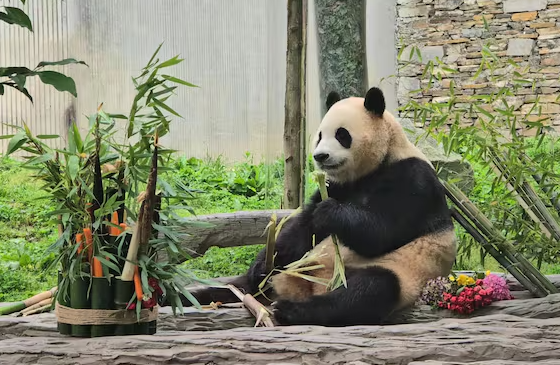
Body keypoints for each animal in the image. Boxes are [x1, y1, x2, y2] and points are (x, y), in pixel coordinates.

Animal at [177, 86, 458, 326]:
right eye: (320, 135)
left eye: (342, 135)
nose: (320, 156)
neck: (375, 165)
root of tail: (304, 288)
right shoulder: (337, 185)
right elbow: (302, 229)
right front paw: (263, 262)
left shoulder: (412, 179)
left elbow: (383, 231)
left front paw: (331, 213)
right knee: (239, 287)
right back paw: (186, 296)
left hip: (402, 271)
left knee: (368, 290)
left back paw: (291, 310)